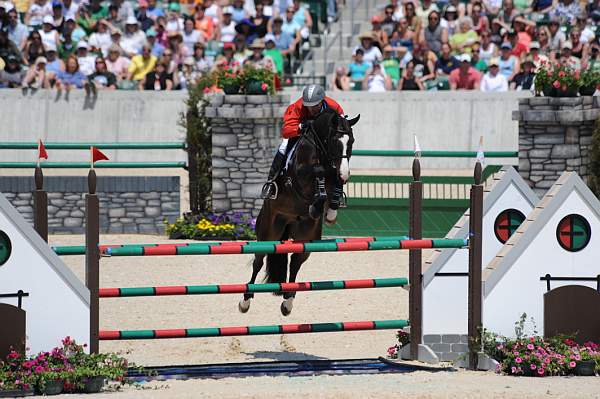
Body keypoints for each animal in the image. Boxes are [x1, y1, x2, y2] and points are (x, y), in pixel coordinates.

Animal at [238, 108, 360, 316]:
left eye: (350, 141)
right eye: (334, 141)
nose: (345, 174)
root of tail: (288, 221)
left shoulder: (333, 174)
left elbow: (333, 185)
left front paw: (330, 213)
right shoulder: (301, 175)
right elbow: (317, 171)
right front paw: (317, 204)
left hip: (305, 236)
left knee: (295, 261)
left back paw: (288, 301)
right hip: (268, 232)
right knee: (258, 261)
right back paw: (245, 300)